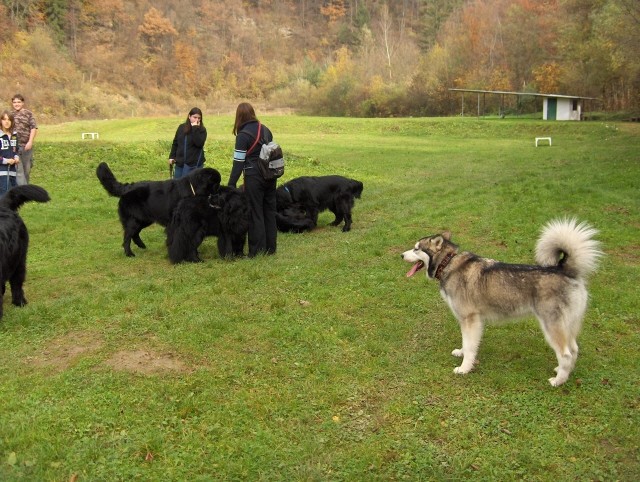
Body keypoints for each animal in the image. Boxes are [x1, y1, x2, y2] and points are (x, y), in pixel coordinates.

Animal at [402, 219, 604, 388]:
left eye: (416, 248)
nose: (401, 255)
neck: (448, 262)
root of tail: (566, 270)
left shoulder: (470, 319)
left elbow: (470, 346)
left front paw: (464, 368)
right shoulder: (470, 321)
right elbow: (467, 343)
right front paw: (461, 352)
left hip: (551, 326)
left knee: (566, 353)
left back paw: (558, 381)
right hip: (568, 325)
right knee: (574, 350)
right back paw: (564, 372)